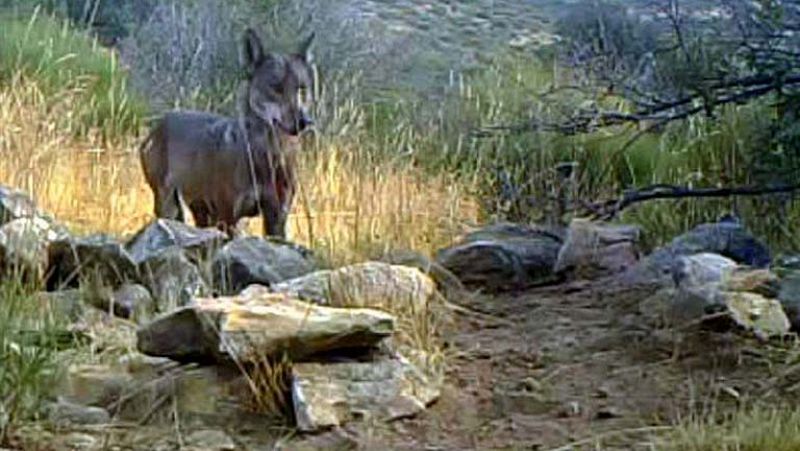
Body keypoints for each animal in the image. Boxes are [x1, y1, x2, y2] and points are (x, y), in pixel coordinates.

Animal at [139, 28, 314, 240]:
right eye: (276, 88)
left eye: (301, 89)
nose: (304, 121)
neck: (268, 160)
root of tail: (160, 122)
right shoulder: (228, 216)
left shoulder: (277, 216)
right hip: (170, 207)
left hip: (200, 212)